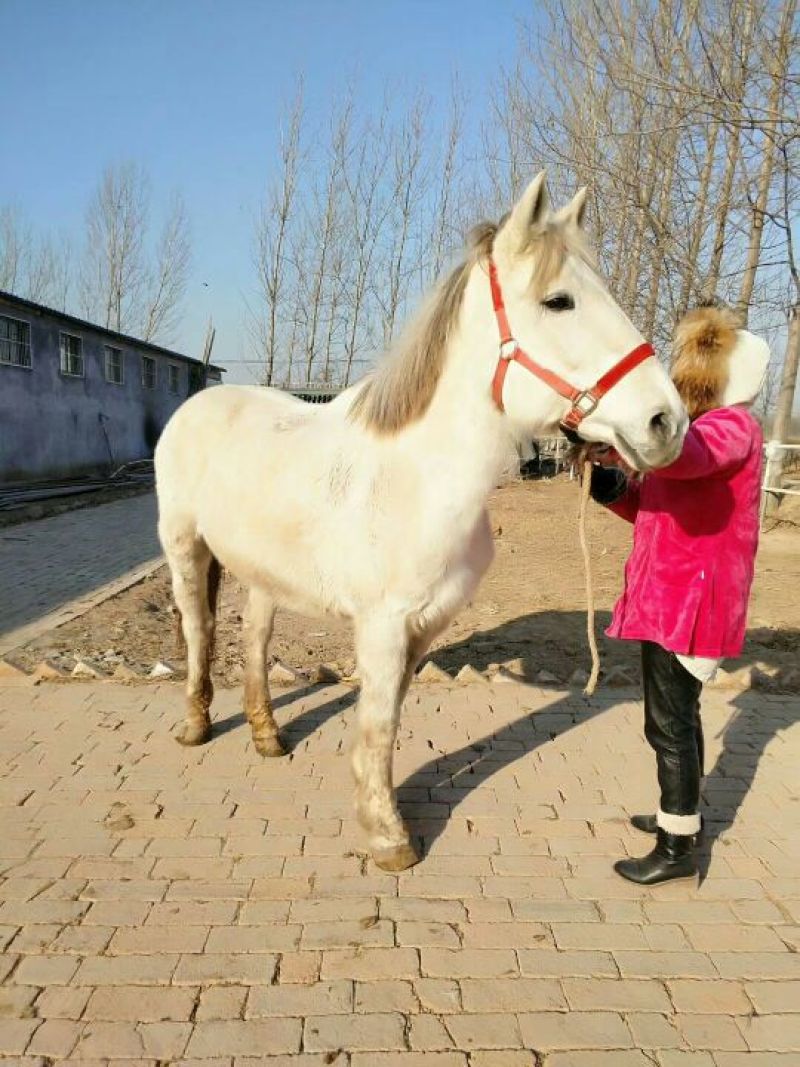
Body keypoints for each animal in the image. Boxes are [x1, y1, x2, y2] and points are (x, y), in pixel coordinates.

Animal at [155, 172, 687, 871]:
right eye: (559, 301)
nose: (666, 422)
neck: (419, 476)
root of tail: (200, 400)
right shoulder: (382, 625)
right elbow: (378, 724)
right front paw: (389, 837)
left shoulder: (426, 623)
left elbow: (390, 718)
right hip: (185, 549)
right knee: (200, 630)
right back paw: (195, 726)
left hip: (265, 572)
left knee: (255, 637)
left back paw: (268, 736)